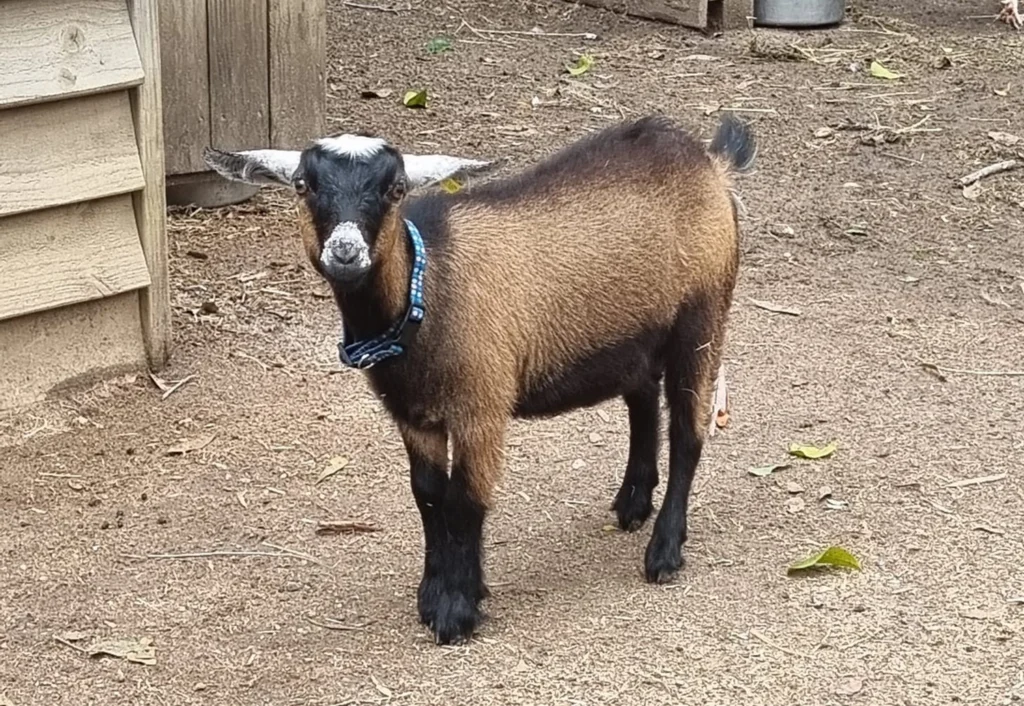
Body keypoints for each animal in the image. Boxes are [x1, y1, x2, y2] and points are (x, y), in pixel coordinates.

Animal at [203, 114, 757, 643]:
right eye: (303, 184)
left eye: (396, 188)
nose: (345, 251)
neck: (428, 290)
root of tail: (708, 160)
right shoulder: (415, 416)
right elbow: (427, 495)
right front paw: (432, 594)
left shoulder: (481, 406)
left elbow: (465, 500)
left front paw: (457, 610)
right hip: (636, 334)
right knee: (641, 399)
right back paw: (632, 504)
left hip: (704, 315)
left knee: (688, 430)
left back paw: (663, 552)